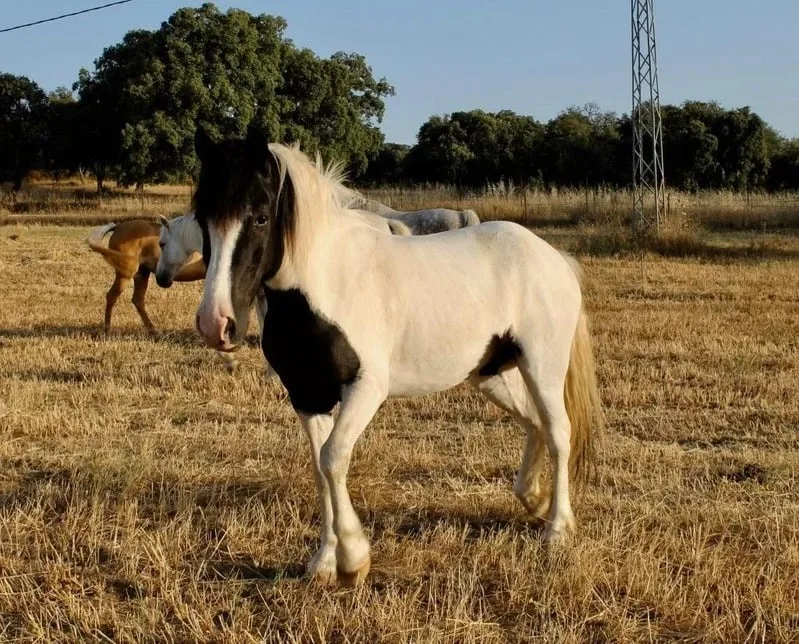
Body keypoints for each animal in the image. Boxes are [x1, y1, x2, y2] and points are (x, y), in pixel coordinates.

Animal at [192, 126, 603, 587]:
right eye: (202, 220)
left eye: (261, 217)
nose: (215, 324)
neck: (328, 283)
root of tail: (554, 258)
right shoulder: (307, 395)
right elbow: (319, 468)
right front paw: (324, 562)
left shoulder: (366, 388)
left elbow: (333, 458)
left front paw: (354, 559)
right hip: (492, 374)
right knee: (534, 423)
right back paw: (533, 499)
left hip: (542, 366)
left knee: (559, 431)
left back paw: (557, 528)